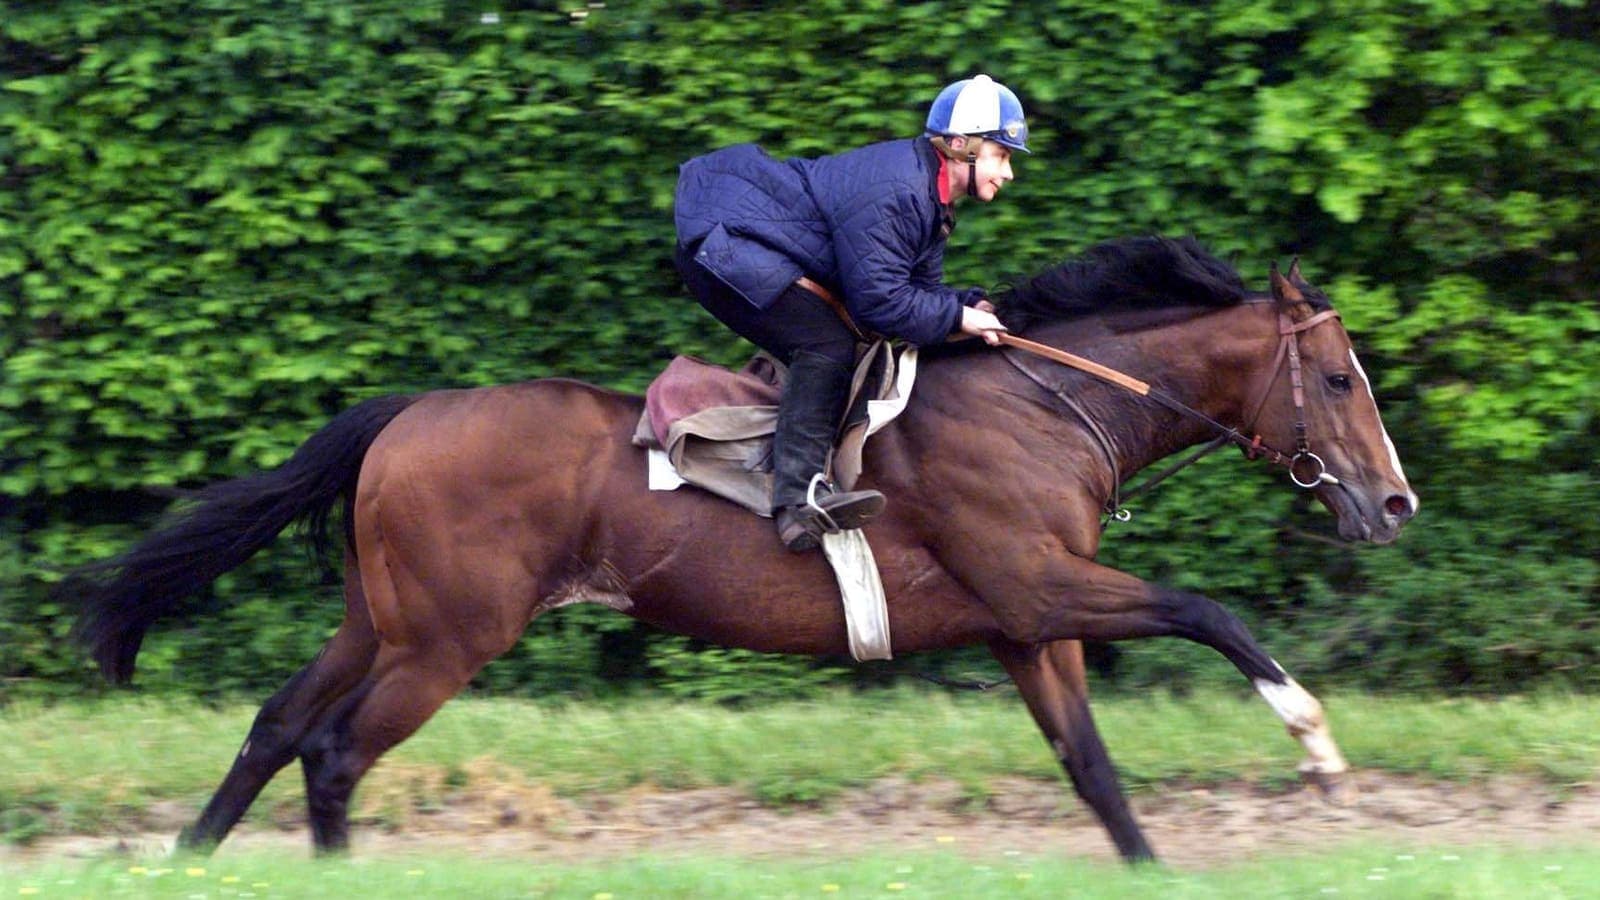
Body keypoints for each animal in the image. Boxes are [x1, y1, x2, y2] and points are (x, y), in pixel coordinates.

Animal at [67, 236, 1417, 863]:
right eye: (1338, 379)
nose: (1395, 503)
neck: (1043, 403)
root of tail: (405, 414)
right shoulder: (1040, 581)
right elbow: (1207, 610)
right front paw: (1316, 743)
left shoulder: (1025, 622)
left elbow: (1091, 767)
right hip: (448, 636)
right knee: (337, 751)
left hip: (381, 617)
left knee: (278, 725)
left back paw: (189, 858)